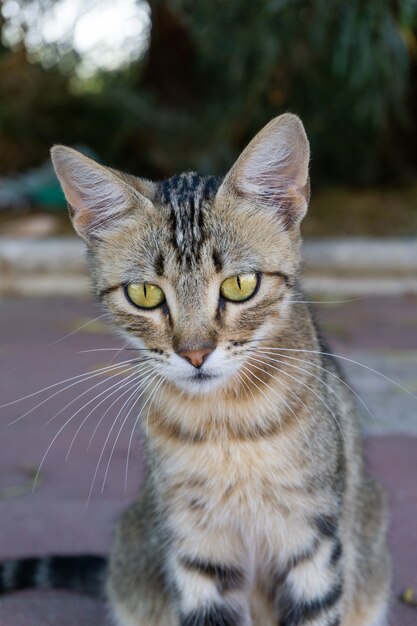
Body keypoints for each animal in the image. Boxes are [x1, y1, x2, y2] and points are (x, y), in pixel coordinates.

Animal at [0, 114, 390, 620]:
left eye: (241, 285)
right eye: (145, 293)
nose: (195, 353)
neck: (226, 427)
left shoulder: (313, 541)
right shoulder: (197, 548)